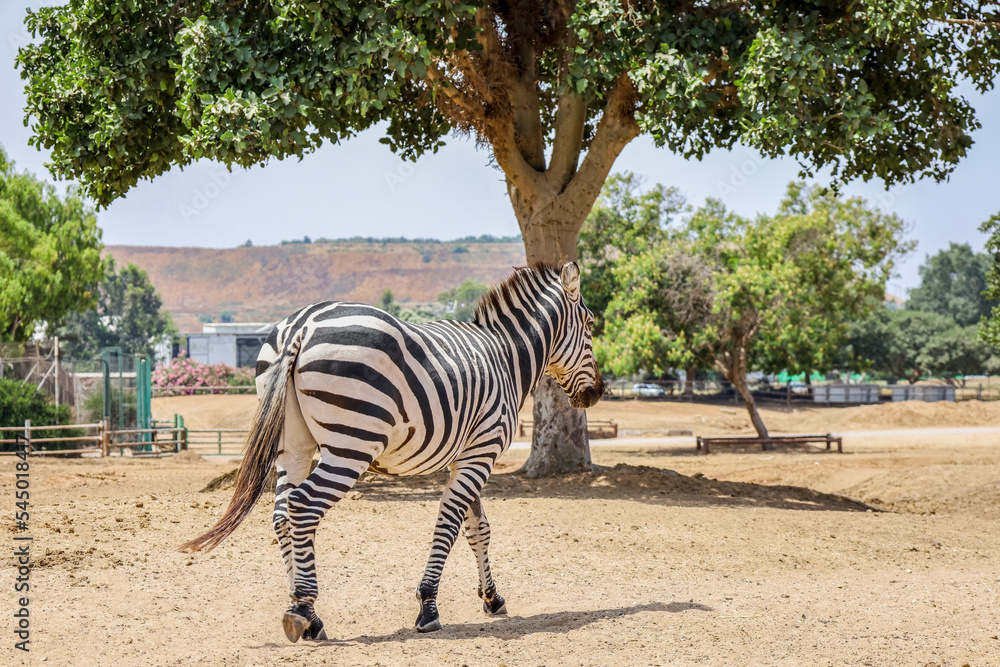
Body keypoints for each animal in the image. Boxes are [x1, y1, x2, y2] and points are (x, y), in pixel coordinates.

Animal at [180, 260, 600, 640]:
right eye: (591, 323)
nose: (597, 393)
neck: (506, 357)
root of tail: (302, 326)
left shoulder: (465, 455)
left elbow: (477, 527)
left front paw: (492, 598)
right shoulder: (481, 451)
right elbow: (449, 524)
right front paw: (428, 606)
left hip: (294, 446)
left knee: (282, 514)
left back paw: (304, 608)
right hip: (351, 445)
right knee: (302, 507)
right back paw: (304, 611)